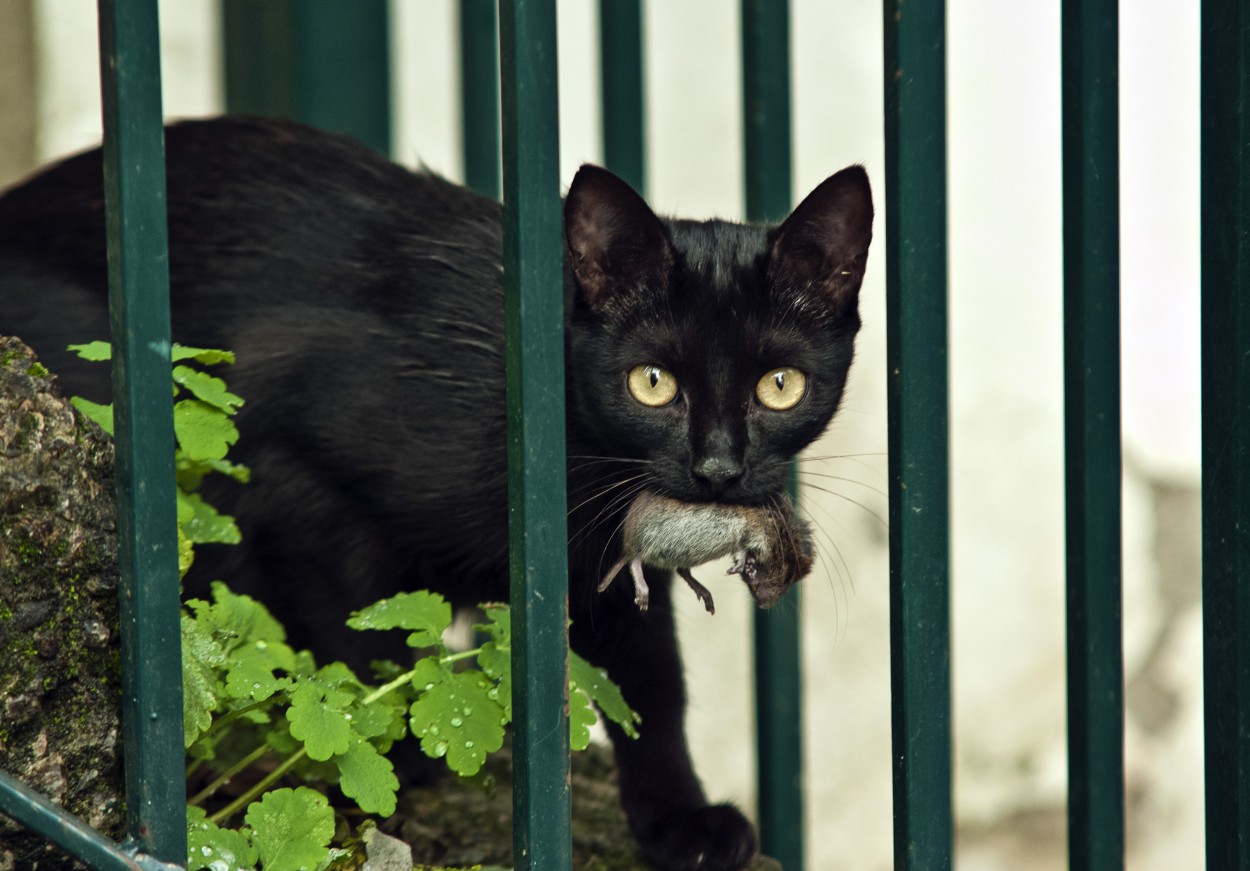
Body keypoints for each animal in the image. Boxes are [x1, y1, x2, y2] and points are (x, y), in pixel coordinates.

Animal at [0, 117, 870, 869]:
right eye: (651, 382)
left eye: (780, 385)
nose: (719, 468)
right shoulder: (284, 459)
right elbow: (348, 637)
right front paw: (391, 747)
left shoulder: (603, 564)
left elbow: (651, 679)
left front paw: (682, 819)